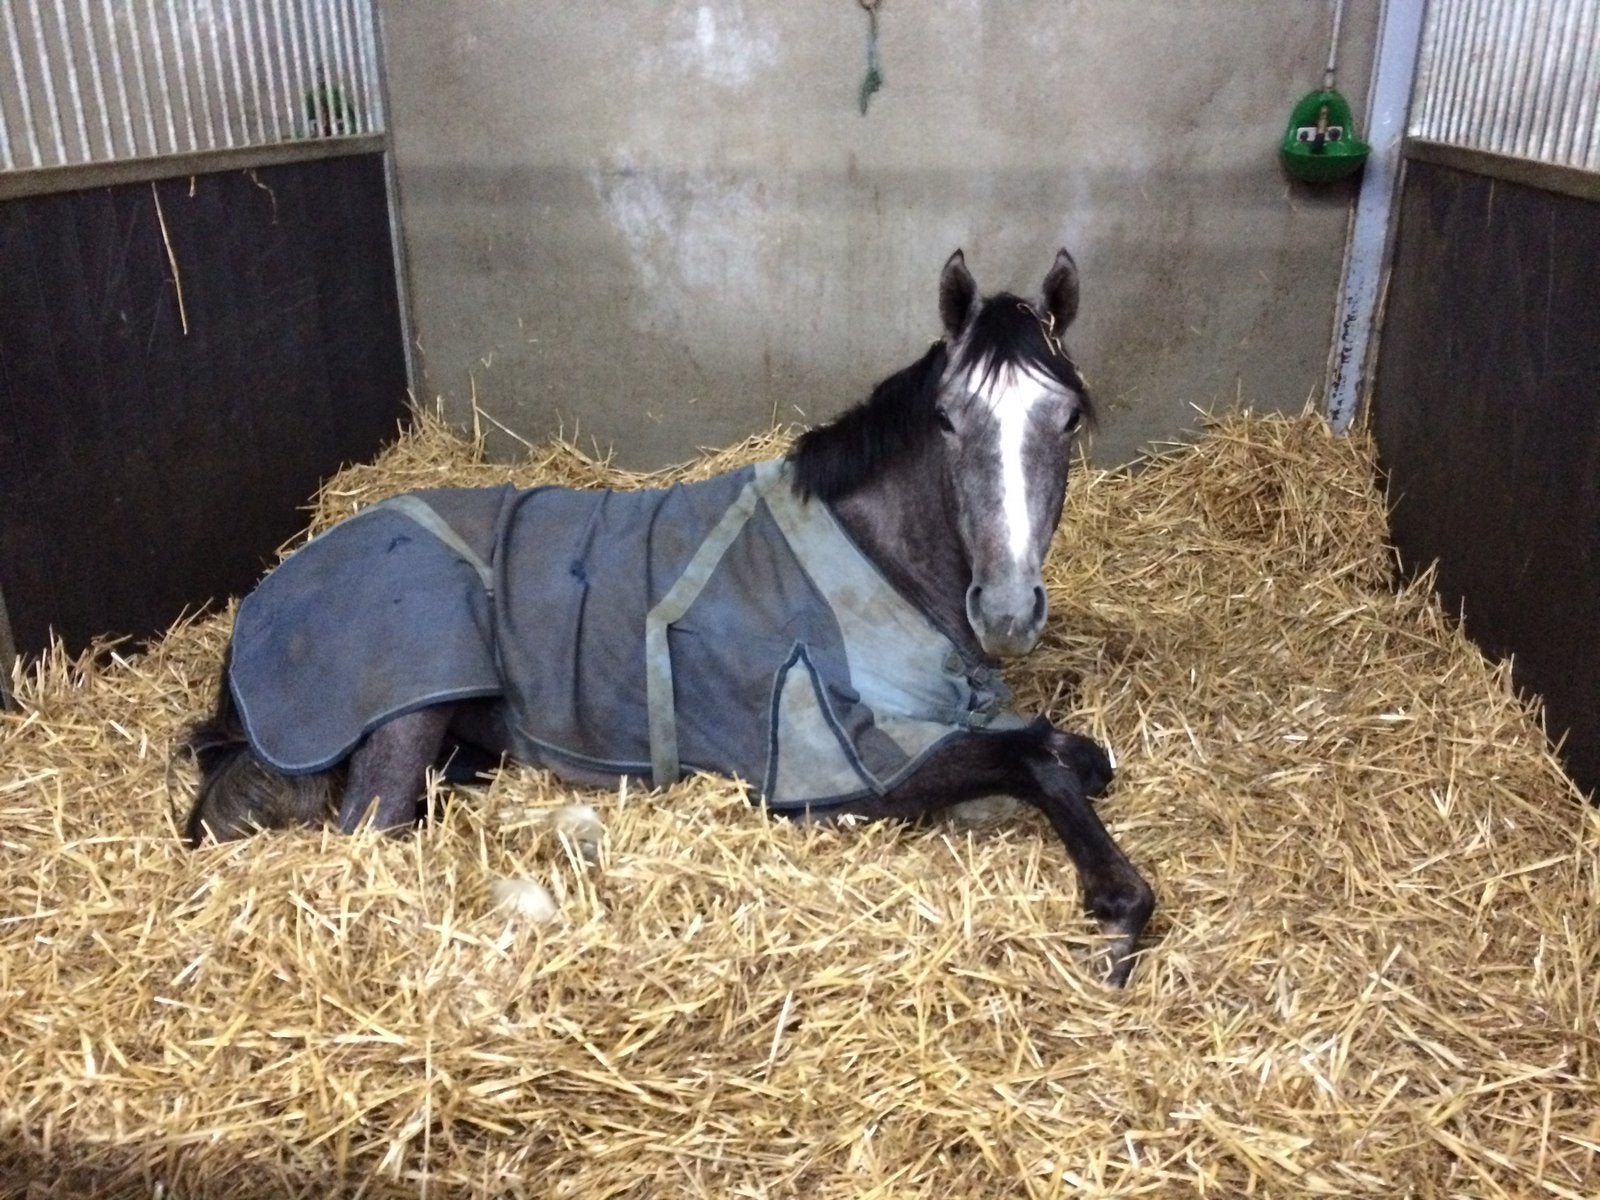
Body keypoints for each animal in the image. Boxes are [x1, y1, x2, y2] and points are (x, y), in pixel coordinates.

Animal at [183, 249, 1155, 986]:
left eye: (1068, 418)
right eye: (950, 421)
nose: (1008, 610)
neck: (872, 557)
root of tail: (268, 596)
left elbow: (1071, 754)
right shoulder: (839, 766)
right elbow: (1036, 760)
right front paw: (1115, 913)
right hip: (404, 712)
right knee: (368, 833)